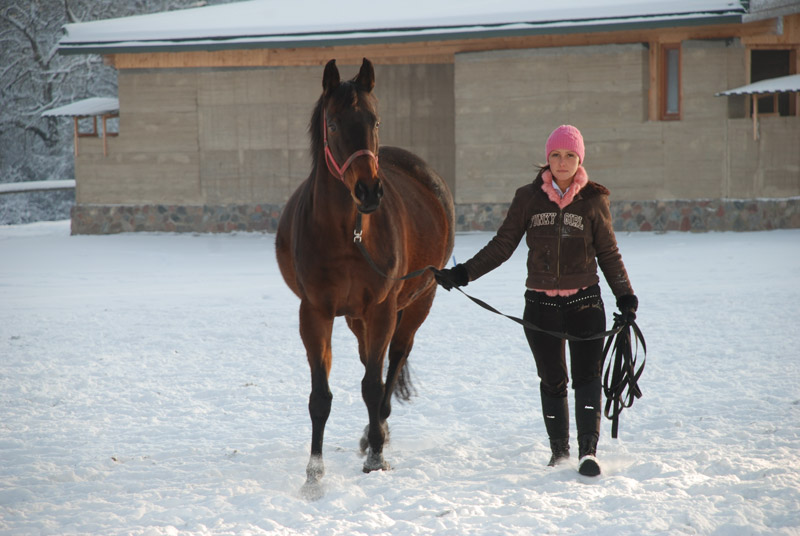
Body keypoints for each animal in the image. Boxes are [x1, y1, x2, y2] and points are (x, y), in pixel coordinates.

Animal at [276, 57, 454, 486]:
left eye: (375, 121)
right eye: (333, 124)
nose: (369, 191)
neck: (347, 235)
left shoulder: (381, 308)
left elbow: (373, 385)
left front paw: (376, 457)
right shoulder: (315, 312)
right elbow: (320, 396)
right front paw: (314, 471)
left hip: (418, 302)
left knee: (396, 358)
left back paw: (380, 432)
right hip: (355, 318)